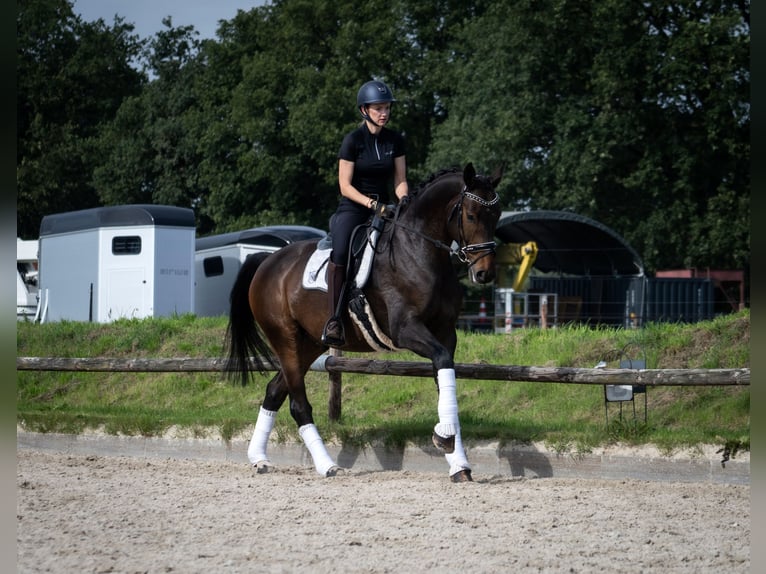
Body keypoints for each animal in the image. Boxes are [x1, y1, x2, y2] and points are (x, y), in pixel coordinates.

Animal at [224, 162, 502, 482]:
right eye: (471, 215)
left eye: (497, 215)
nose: (484, 273)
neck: (419, 249)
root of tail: (266, 263)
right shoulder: (406, 330)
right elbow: (442, 362)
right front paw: (444, 439)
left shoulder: (445, 334)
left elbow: (445, 375)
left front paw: (458, 462)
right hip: (286, 339)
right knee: (298, 404)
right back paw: (327, 465)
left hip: (309, 345)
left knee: (274, 391)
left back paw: (259, 458)